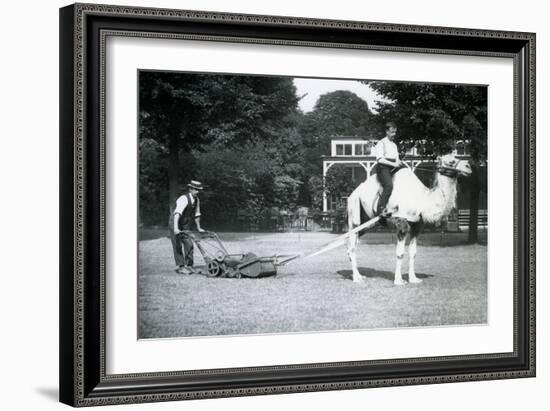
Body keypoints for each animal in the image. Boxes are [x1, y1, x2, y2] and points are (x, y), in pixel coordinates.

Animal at [350, 154, 474, 286]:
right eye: (451, 161)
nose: (469, 167)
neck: (422, 200)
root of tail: (353, 194)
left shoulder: (417, 227)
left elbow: (413, 253)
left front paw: (414, 278)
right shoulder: (402, 223)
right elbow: (400, 253)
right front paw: (399, 280)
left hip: (366, 224)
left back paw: (360, 275)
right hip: (354, 215)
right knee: (351, 247)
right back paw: (356, 278)